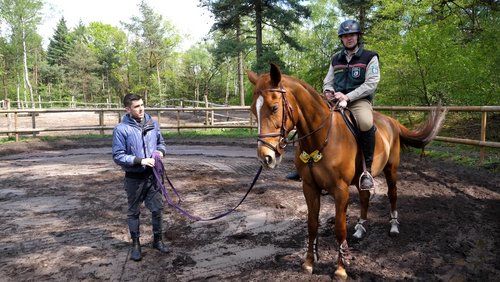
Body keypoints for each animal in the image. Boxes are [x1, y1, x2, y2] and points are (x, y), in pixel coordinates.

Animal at [246, 62, 446, 278]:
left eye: (274, 108)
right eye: (253, 109)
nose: (266, 157)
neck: (322, 138)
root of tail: (391, 121)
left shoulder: (340, 191)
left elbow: (340, 229)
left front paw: (341, 268)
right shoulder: (309, 187)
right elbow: (312, 225)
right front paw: (309, 262)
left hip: (391, 170)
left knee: (392, 195)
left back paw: (393, 226)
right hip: (361, 178)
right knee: (365, 197)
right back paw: (360, 228)